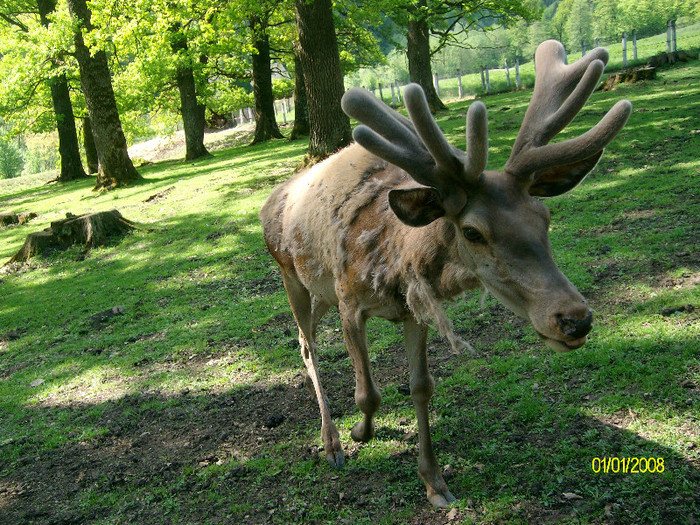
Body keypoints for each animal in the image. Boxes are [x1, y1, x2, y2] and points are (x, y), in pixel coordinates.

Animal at [260, 42, 632, 508]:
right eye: (473, 231)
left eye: (544, 217)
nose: (575, 319)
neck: (398, 259)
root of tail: (273, 198)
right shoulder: (349, 300)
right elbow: (368, 392)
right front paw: (360, 433)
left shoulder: (414, 308)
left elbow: (421, 386)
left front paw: (434, 482)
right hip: (291, 275)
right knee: (306, 344)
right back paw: (331, 442)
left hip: (320, 293)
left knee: (305, 336)